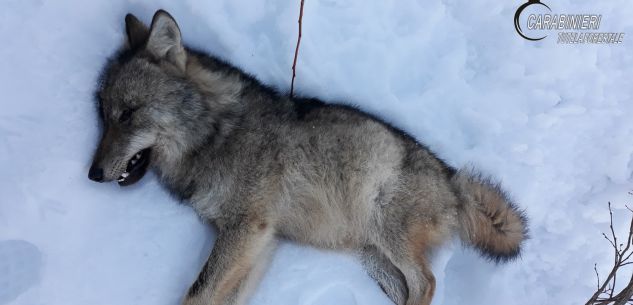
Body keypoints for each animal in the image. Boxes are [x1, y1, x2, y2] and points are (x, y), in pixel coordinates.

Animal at [86, 9, 524, 304]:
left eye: (128, 114)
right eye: (103, 113)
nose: (92, 174)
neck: (213, 135)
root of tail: (453, 179)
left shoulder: (247, 230)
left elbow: (196, 294)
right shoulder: (260, 243)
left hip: (387, 231)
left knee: (426, 282)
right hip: (371, 256)